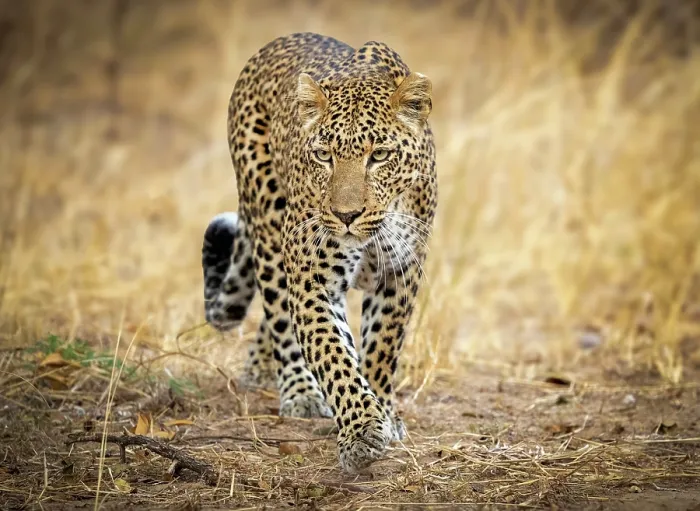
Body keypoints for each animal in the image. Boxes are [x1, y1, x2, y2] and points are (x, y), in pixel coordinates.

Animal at [201, 32, 437, 472]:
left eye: (379, 155)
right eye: (325, 155)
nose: (346, 215)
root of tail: (275, 44)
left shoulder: (400, 274)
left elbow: (382, 348)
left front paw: (383, 413)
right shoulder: (314, 280)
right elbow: (333, 354)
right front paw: (362, 431)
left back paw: (260, 368)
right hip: (270, 226)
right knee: (279, 313)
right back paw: (300, 391)